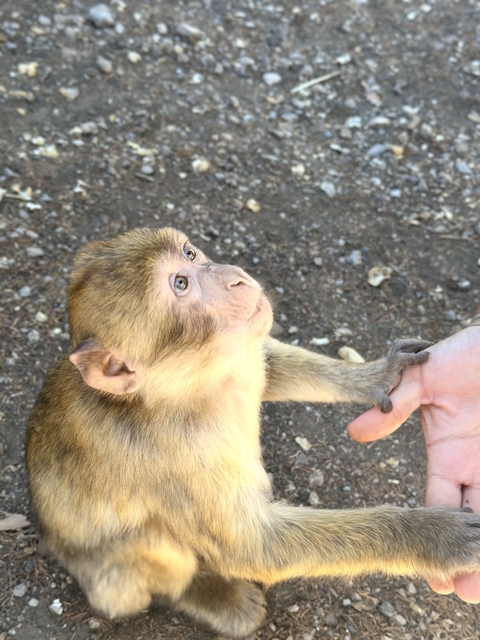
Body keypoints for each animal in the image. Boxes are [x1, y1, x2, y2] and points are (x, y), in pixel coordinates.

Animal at [26, 227, 480, 639]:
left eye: (190, 253)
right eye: (180, 284)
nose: (236, 277)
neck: (178, 394)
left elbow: (262, 363)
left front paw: (372, 377)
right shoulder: (178, 458)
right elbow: (254, 549)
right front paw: (430, 537)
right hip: (109, 577)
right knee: (148, 541)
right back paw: (204, 593)